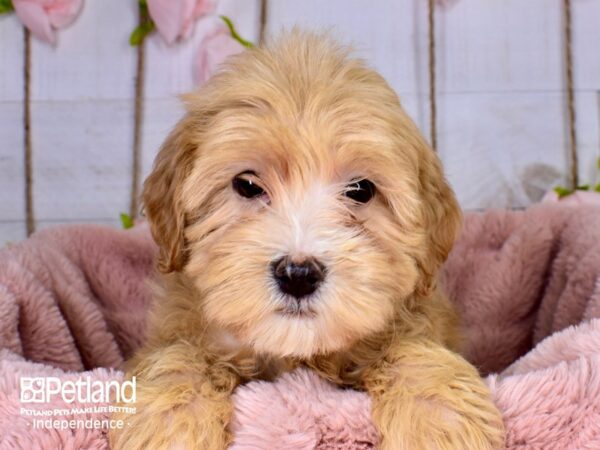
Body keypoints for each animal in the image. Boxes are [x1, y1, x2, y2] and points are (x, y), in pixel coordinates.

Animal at [110, 32, 504, 450]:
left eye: (361, 190)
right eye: (247, 185)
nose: (298, 274)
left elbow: (412, 348)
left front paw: (438, 420)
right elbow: (179, 353)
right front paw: (170, 421)